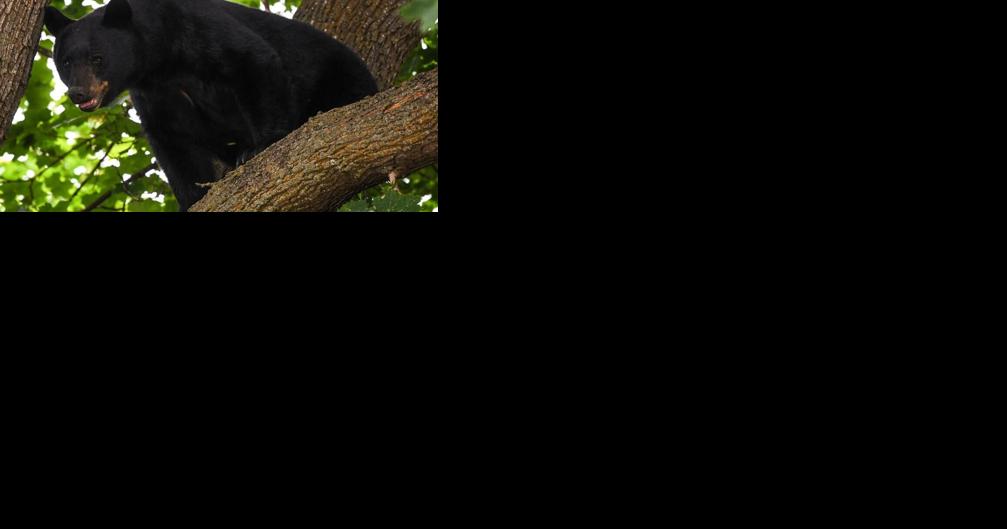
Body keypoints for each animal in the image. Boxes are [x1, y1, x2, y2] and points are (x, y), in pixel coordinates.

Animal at [44, 0, 379, 211]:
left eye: (97, 58)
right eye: (66, 62)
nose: (77, 93)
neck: (161, 61)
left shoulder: (202, 32)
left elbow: (255, 64)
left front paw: (260, 147)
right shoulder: (155, 94)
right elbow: (172, 142)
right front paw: (192, 198)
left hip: (341, 76)